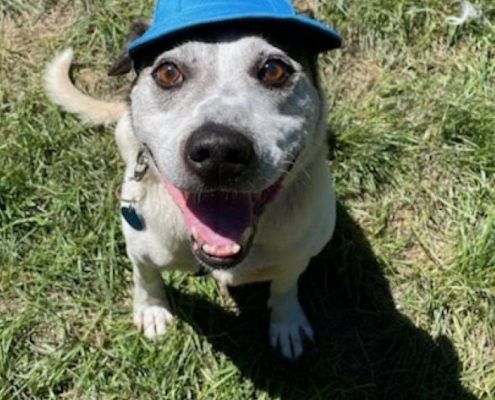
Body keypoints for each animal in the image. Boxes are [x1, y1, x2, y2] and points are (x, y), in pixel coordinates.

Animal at [44, 7, 340, 360]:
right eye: (168, 72)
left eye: (273, 69)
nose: (218, 151)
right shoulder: (139, 249)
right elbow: (145, 277)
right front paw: (152, 309)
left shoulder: (298, 254)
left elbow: (285, 284)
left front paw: (287, 322)